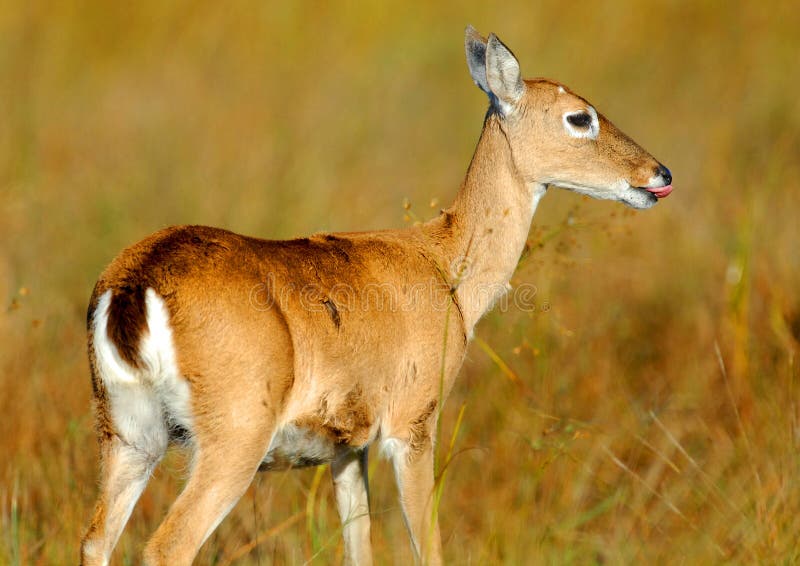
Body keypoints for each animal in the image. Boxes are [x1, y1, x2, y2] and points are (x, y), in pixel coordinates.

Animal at [81, 24, 672, 564]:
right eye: (580, 117)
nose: (659, 173)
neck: (444, 262)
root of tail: (135, 282)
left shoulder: (347, 450)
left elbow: (358, 547)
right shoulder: (412, 430)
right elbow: (427, 547)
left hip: (129, 440)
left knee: (95, 540)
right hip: (229, 445)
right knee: (166, 546)